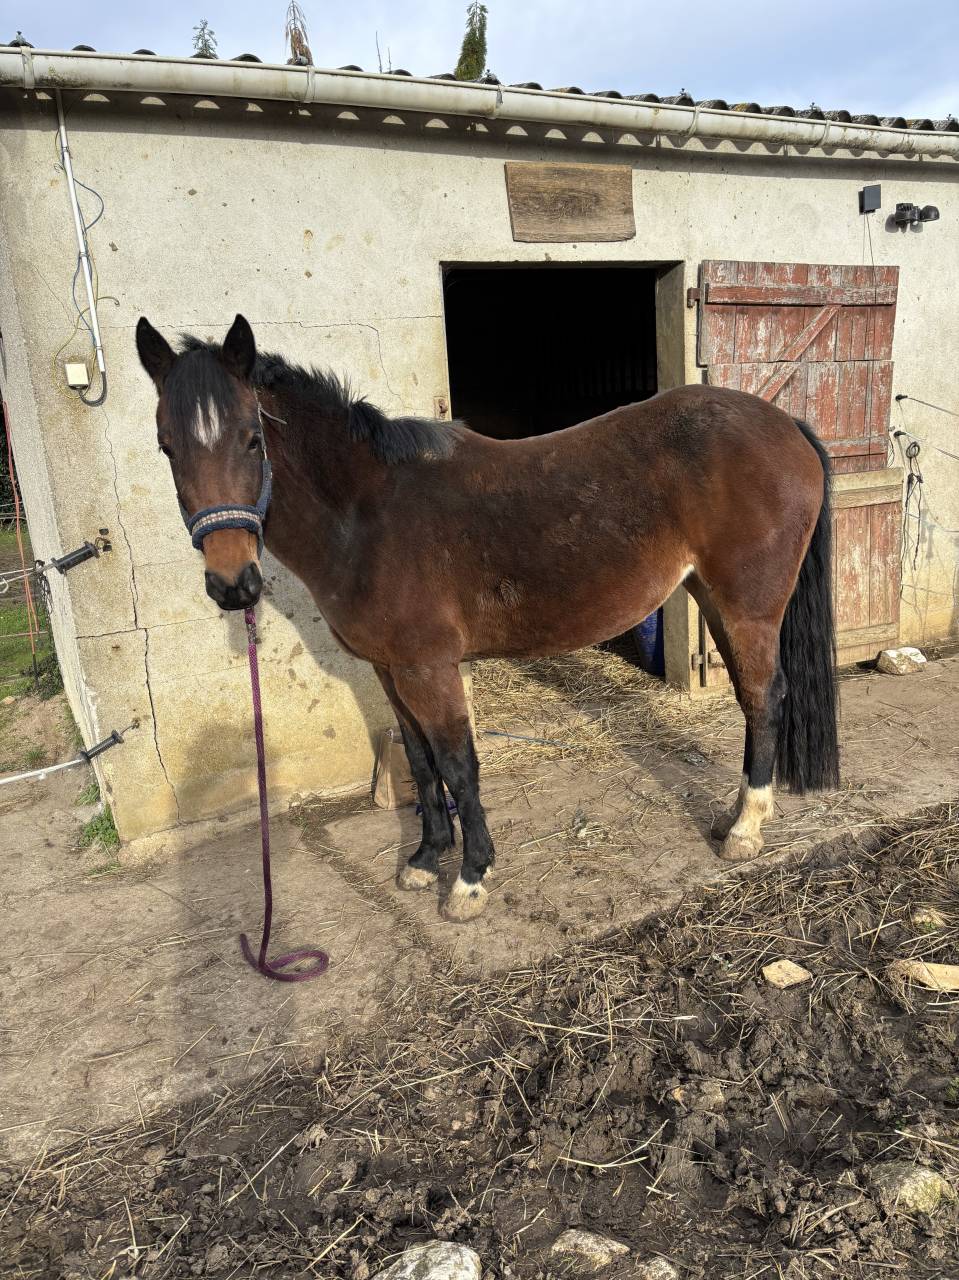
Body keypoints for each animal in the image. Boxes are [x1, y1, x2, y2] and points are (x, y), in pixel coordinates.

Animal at [136, 314, 839, 923]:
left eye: (252, 438)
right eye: (166, 448)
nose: (232, 584)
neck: (366, 515)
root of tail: (787, 423)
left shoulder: (429, 668)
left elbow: (458, 764)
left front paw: (469, 880)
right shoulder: (391, 671)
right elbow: (421, 763)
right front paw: (425, 859)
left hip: (747, 607)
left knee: (765, 696)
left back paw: (744, 830)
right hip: (714, 600)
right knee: (752, 700)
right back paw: (732, 816)